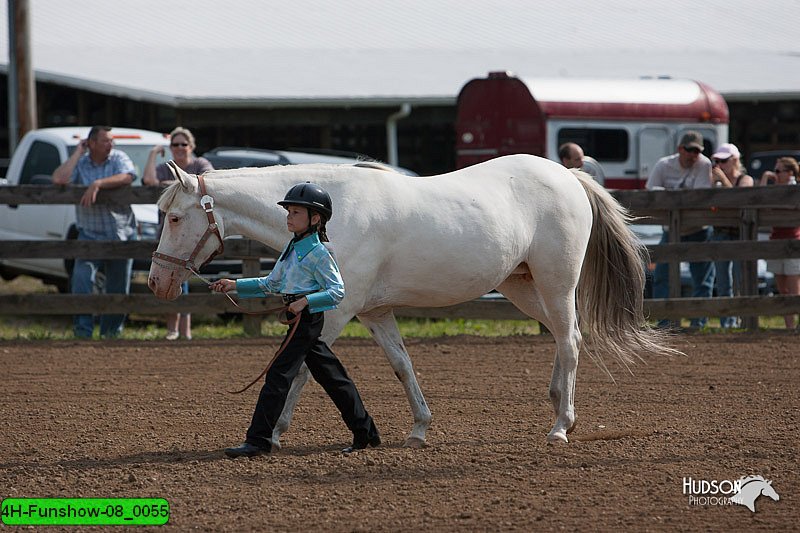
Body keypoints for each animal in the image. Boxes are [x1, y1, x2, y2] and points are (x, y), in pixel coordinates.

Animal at [147, 153, 672, 444]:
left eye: (173, 217)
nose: (156, 282)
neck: (333, 216)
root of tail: (568, 176)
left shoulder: (335, 310)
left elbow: (298, 369)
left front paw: (273, 433)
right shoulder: (374, 312)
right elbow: (403, 366)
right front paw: (419, 428)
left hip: (556, 280)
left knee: (570, 340)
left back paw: (561, 425)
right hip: (522, 285)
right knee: (567, 338)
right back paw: (558, 404)